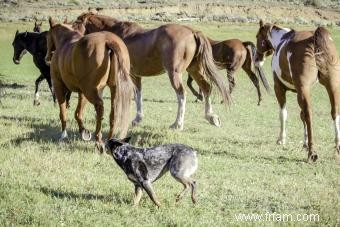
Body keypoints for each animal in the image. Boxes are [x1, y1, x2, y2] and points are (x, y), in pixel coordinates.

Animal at [45, 17, 133, 151]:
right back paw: (109, 141)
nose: (47, 58)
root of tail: (108, 41)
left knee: (100, 107)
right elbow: (78, 113)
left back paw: (98, 141)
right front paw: (83, 131)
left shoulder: (59, 87)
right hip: (113, 90)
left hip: (90, 91)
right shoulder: (83, 93)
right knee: (113, 114)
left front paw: (64, 134)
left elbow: (63, 112)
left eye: (47, 37)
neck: (65, 41)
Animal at [72, 12, 231, 129]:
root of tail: (192, 32)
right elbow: (138, 94)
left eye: (77, 23)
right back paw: (211, 117)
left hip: (174, 73)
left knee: (182, 94)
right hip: (194, 70)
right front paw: (137, 119)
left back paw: (177, 124)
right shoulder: (135, 76)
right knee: (206, 88)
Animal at [255, 19, 340, 161]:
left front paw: (281, 139)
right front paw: (304, 142)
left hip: (304, 89)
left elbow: (283, 113)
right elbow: (301, 116)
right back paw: (337, 148)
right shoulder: (300, 92)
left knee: (309, 114)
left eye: (257, 37)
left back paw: (312, 153)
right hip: (332, 86)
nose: (256, 59)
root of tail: (313, 38)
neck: (281, 40)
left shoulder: (280, 88)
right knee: (335, 113)